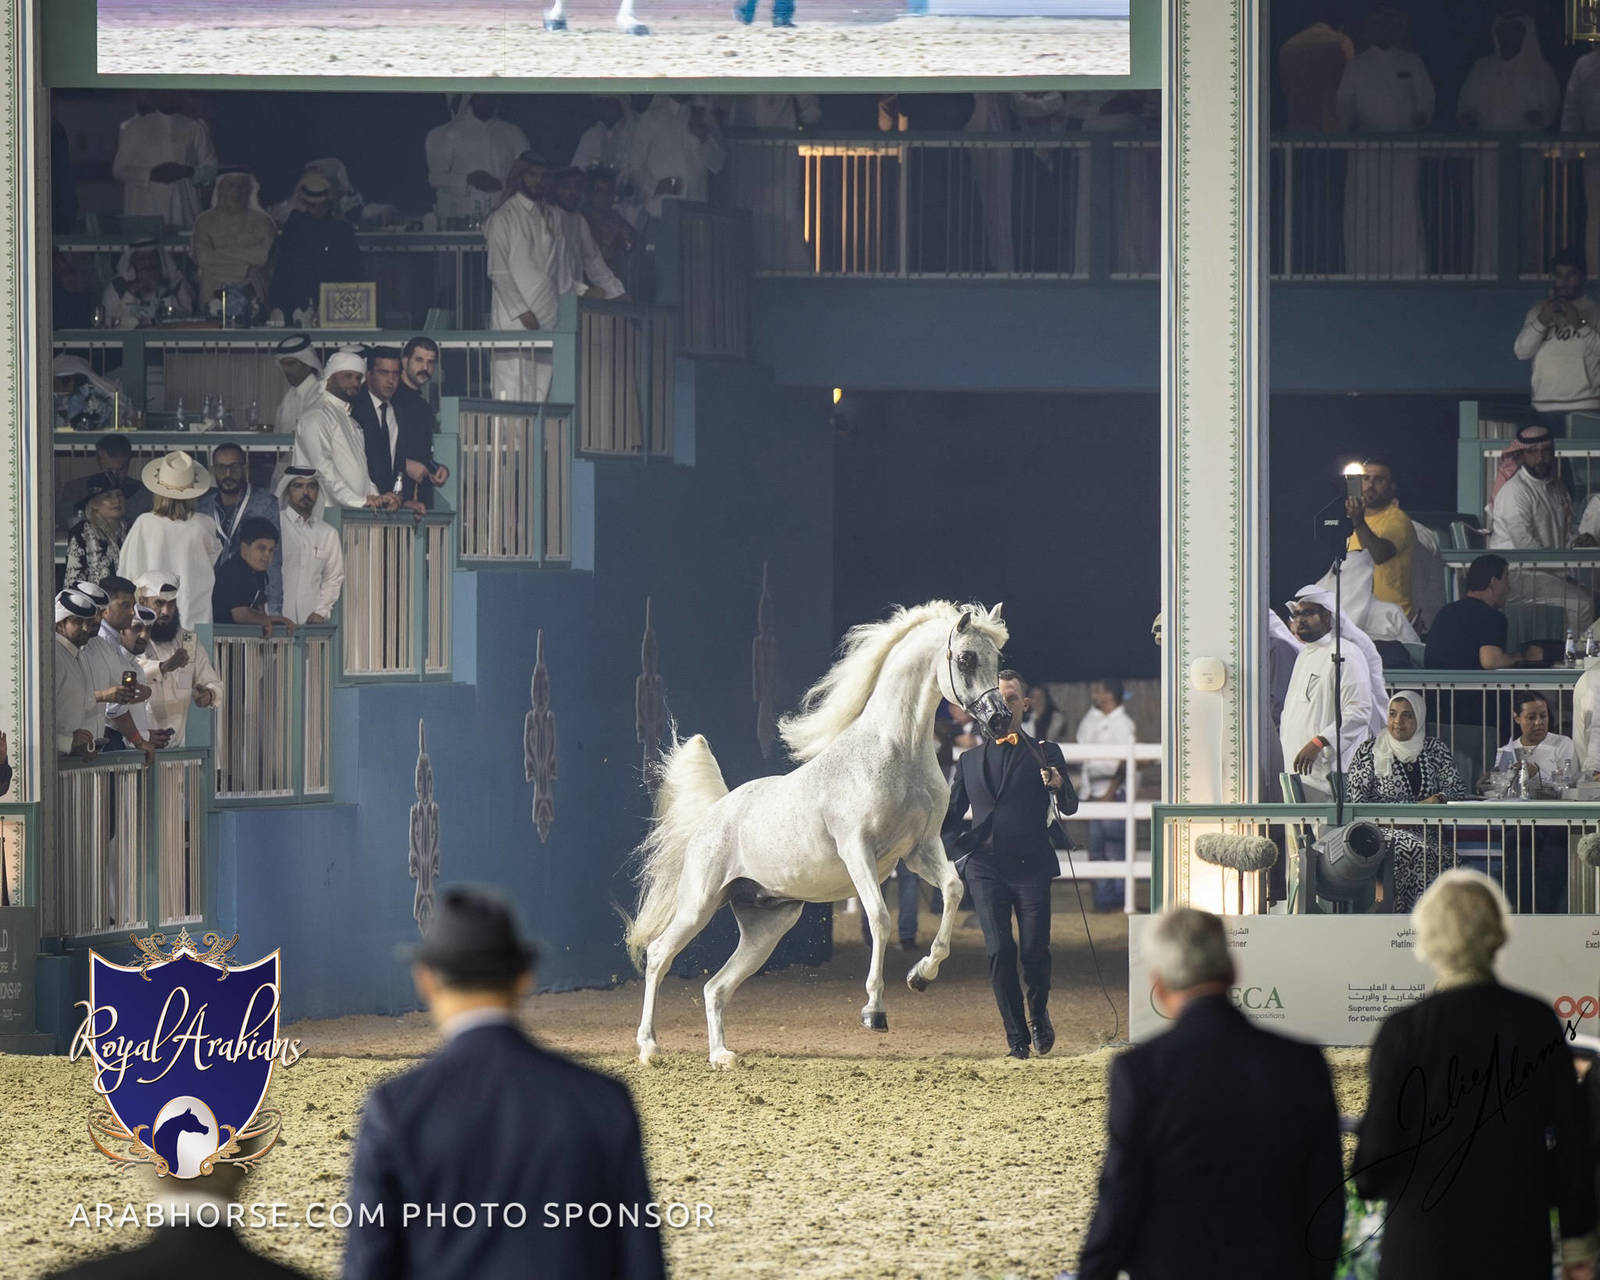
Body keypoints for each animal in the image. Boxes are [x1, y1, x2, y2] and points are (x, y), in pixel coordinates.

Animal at [626, 600, 1012, 1068]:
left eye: (999, 660)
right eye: (966, 658)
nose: (1000, 720)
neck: (896, 752)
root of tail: (714, 813)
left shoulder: (920, 851)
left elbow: (954, 890)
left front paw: (921, 974)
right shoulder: (858, 851)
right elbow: (879, 918)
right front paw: (874, 1011)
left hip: (768, 926)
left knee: (715, 987)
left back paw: (721, 1056)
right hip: (698, 905)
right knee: (659, 955)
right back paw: (649, 1047)